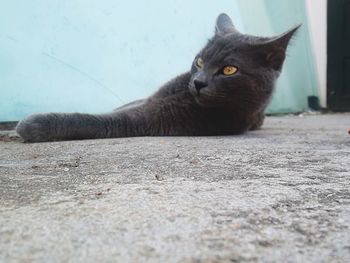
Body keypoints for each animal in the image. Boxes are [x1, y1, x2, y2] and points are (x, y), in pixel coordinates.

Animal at [16, 13, 300, 143]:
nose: (198, 82)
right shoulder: (148, 99)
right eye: (199, 61)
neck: (184, 95)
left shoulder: (150, 118)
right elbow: (119, 108)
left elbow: (99, 120)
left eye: (230, 70)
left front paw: (33, 124)